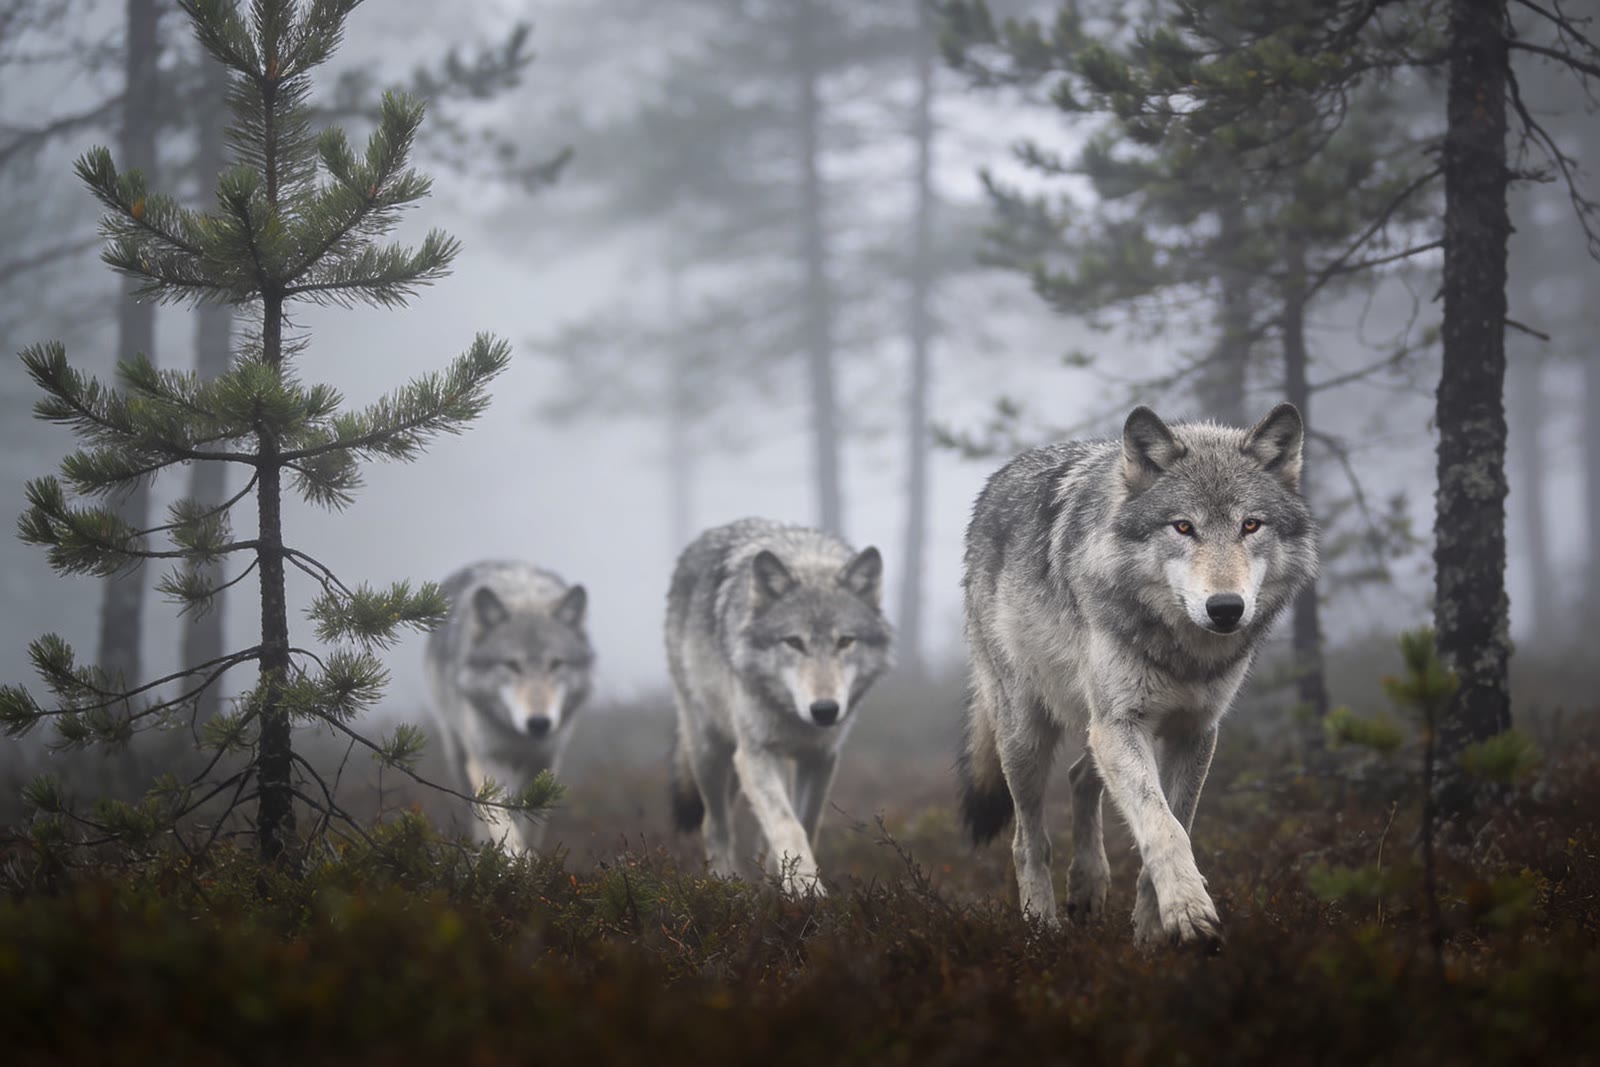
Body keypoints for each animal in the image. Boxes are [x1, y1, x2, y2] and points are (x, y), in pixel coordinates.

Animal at [423, 560, 592, 852]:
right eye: (512, 665)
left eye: (555, 664)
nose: (539, 723)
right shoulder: (487, 762)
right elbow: (503, 823)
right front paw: (515, 859)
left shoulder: (545, 763)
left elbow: (531, 822)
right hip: (457, 753)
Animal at [665, 518, 892, 894]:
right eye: (794, 642)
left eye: (845, 641)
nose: (825, 710)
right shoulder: (754, 754)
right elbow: (787, 824)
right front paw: (806, 890)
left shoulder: (821, 758)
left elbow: (805, 823)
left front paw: (785, 880)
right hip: (710, 751)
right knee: (714, 825)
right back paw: (724, 884)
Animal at [958, 403, 1316, 945]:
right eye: (1183, 527)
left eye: (1251, 525)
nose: (1226, 608)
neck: (1183, 652)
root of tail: (995, 482)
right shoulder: (1123, 723)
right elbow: (1162, 827)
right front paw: (1190, 913)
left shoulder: (1194, 731)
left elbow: (1174, 823)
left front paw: (1151, 938)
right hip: (1027, 734)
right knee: (1027, 840)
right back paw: (1042, 929)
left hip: (1095, 725)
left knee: (1080, 775)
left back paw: (1087, 887)